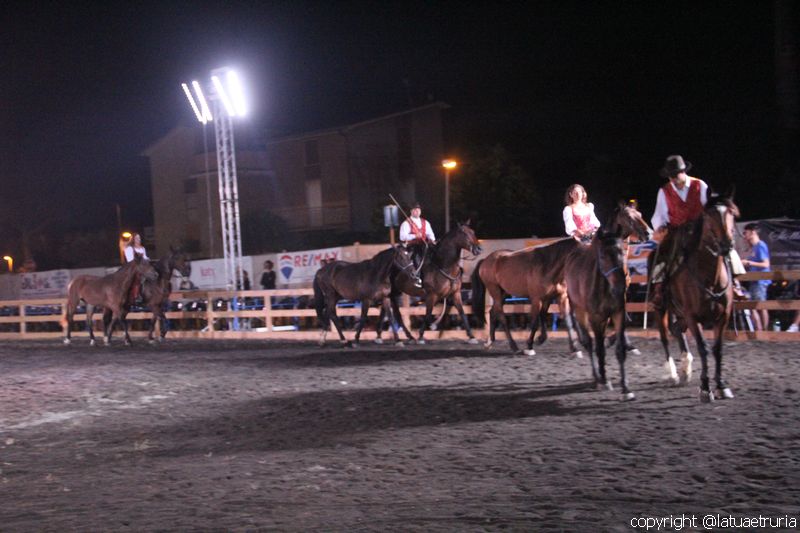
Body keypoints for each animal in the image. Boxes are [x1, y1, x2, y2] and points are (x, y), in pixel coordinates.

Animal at [471, 204, 652, 355]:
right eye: (629, 217)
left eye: (640, 214)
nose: (648, 232)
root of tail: (487, 260)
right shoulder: (537, 298)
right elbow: (536, 320)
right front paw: (529, 346)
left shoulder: (561, 296)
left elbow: (569, 319)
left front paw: (576, 347)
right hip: (495, 290)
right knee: (501, 315)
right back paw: (514, 346)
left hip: (504, 293)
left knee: (493, 312)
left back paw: (490, 342)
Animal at [564, 204, 652, 400]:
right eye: (629, 217)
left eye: (640, 214)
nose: (648, 233)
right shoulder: (596, 318)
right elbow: (599, 348)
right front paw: (604, 380)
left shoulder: (618, 311)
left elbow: (619, 347)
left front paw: (626, 388)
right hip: (579, 310)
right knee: (589, 342)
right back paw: (597, 377)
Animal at [652, 192, 739, 402]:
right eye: (709, 215)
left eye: (732, 213)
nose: (726, 244)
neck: (710, 277)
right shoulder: (693, 317)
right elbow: (703, 348)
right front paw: (706, 388)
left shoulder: (723, 317)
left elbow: (717, 349)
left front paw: (721, 385)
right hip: (661, 308)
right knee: (665, 337)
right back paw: (673, 373)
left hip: (679, 313)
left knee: (677, 330)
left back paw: (685, 368)